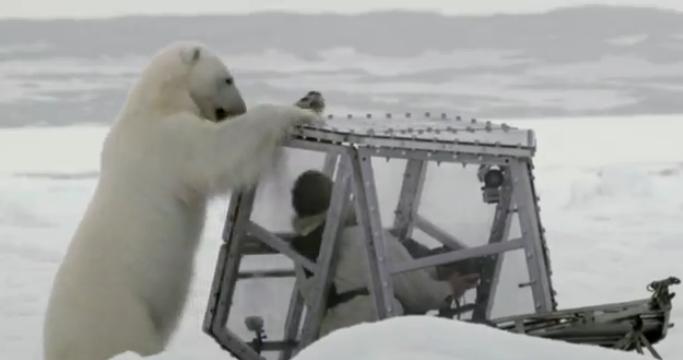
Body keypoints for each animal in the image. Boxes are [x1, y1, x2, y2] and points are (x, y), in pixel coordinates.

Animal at [43, 43, 320, 360]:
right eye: (228, 79)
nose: (240, 108)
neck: (155, 101)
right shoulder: (168, 139)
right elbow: (217, 151)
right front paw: (301, 112)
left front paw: (311, 100)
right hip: (120, 313)